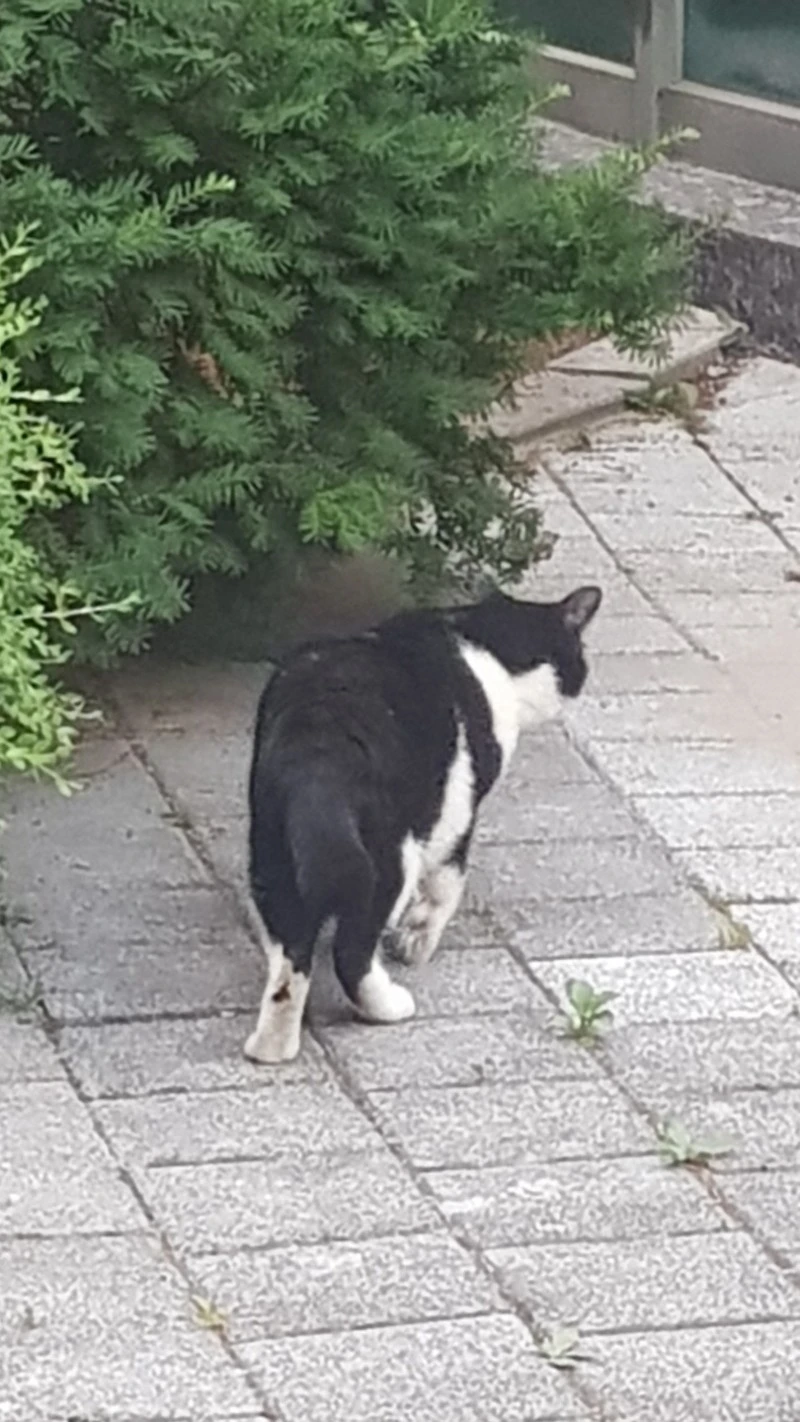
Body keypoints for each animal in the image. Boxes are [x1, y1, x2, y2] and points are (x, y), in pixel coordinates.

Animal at [245, 584, 601, 1063]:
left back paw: (272, 1046)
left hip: (273, 851)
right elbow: (446, 886)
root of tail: (318, 735)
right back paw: (387, 1005)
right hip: (389, 856)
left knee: (290, 954)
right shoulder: (458, 811)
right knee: (351, 950)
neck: (485, 642)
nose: (583, 678)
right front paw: (417, 940)